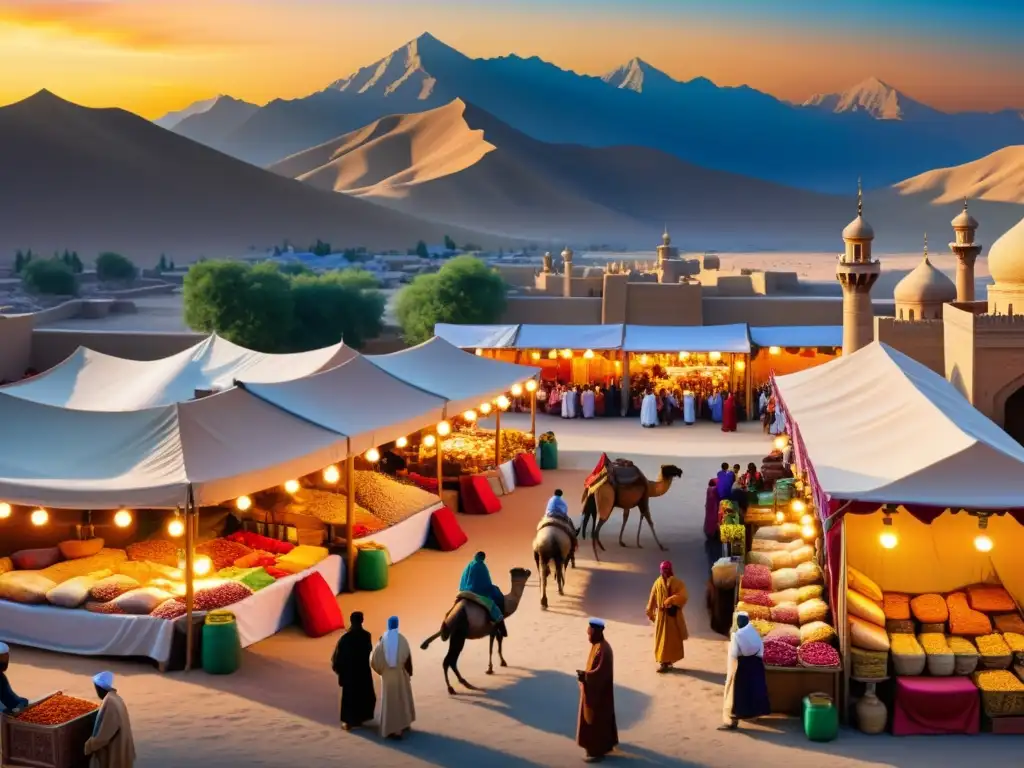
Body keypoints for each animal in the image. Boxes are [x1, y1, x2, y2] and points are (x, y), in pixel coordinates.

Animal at [417, 565, 528, 696]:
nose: (529, 571)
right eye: (522, 571)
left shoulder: (492, 628)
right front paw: (499, 664)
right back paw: (453, 687)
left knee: (450, 661)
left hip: (455, 636)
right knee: (449, 660)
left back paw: (461, 683)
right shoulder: (496, 625)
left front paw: (492, 667)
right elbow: (497, 642)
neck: (506, 603)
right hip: (459, 635)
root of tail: (447, 620)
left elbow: (493, 645)